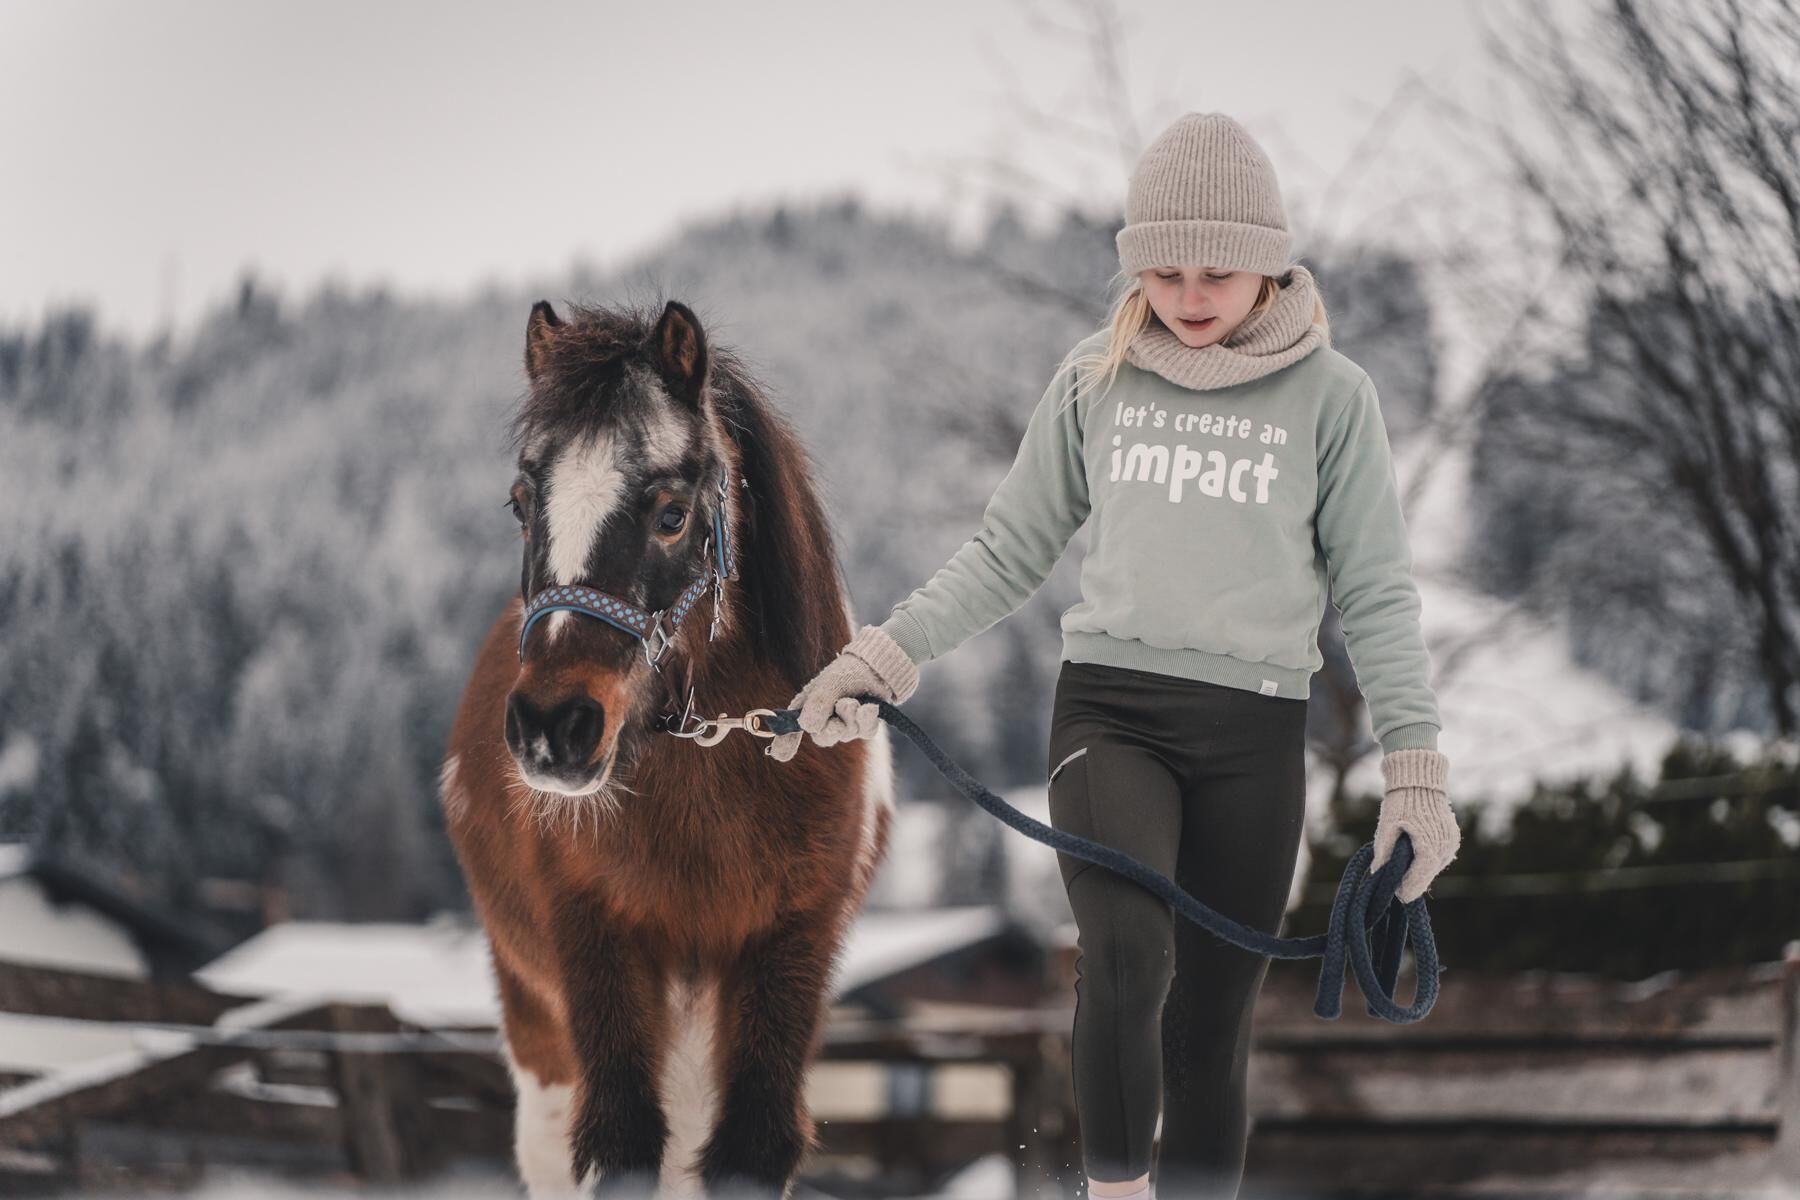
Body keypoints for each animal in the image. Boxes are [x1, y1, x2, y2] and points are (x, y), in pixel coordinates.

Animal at [439, 297, 896, 1198]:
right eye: (521, 502)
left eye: (672, 514)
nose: (553, 728)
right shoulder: (598, 950)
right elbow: (620, 1144)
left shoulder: (789, 950)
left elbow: (749, 1149)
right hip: (543, 1027)